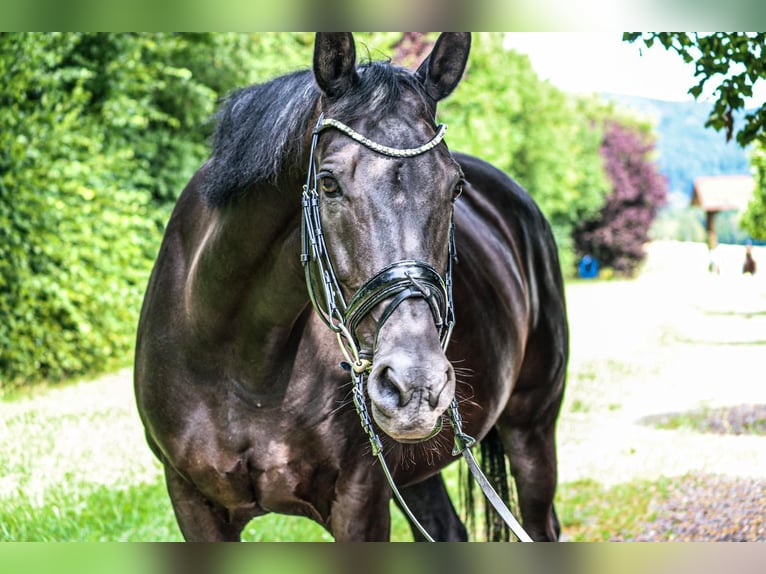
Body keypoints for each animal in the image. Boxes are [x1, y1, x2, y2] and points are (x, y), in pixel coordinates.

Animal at [134, 32, 568, 542]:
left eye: (456, 187)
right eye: (328, 183)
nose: (416, 384)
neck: (240, 363)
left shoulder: (360, 502)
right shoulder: (191, 502)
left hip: (531, 427)